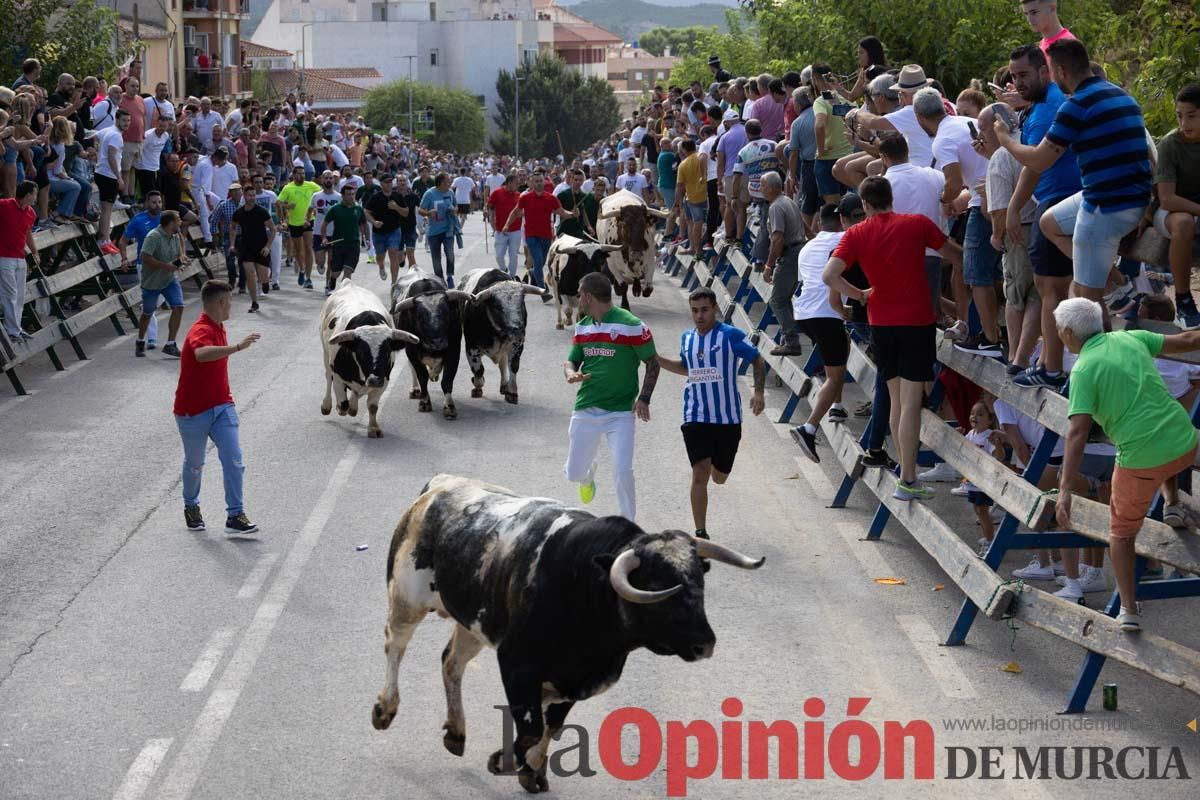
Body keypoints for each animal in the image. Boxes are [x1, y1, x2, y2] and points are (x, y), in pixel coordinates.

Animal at [319, 281, 417, 441]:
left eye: (387, 352)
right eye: (361, 353)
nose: (374, 380)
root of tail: (349, 284)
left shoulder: (384, 380)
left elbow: (372, 406)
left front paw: (373, 428)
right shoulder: (338, 378)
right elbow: (343, 403)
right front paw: (341, 408)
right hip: (325, 353)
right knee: (328, 378)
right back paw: (327, 405)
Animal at [369, 474, 763, 796]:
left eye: (699, 581)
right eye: (658, 587)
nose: (705, 644)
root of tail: (440, 485)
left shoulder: (573, 682)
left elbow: (552, 726)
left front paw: (532, 772)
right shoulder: (517, 664)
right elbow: (531, 728)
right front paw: (504, 761)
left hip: (473, 623)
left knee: (451, 662)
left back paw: (455, 731)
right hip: (406, 598)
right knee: (396, 644)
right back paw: (385, 708)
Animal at [391, 268, 470, 419]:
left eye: (446, 314)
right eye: (420, 317)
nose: (437, 342)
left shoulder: (454, 348)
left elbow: (447, 379)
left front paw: (449, 406)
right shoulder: (411, 351)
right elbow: (422, 376)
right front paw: (425, 402)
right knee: (413, 369)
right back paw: (415, 389)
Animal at [453, 268, 544, 402]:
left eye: (521, 303)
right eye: (497, 306)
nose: (517, 329)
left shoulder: (517, 345)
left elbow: (513, 365)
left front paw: (512, 392)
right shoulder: (471, 347)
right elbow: (478, 370)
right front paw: (477, 386)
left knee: (502, 364)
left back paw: (504, 385)